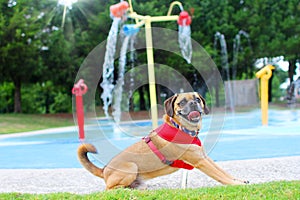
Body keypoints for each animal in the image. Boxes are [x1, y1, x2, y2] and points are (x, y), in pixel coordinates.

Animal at [78, 92, 248, 189]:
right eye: (182, 102)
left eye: (197, 99)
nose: (194, 103)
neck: (181, 128)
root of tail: (104, 169)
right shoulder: (200, 161)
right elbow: (220, 176)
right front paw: (235, 184)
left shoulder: (204, 157)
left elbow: (223, 171)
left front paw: (238, 180)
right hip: (131, 167)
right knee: (110, 190)